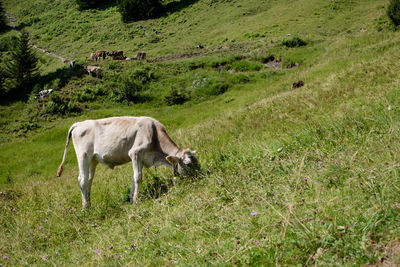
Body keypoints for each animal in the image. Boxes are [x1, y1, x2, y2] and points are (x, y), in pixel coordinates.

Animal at [56, 116, 200, 208]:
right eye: (188, 164)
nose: (200, 177)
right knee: (82, 180)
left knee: (89, 181)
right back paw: (85, 207)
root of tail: (78, 123)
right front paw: (136, 200)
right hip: (83, 156)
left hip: (93, 160)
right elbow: (138, 178)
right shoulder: (135, 153)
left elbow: (134, 178)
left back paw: (89, 204)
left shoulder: (140, 158)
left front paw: (131, 198)